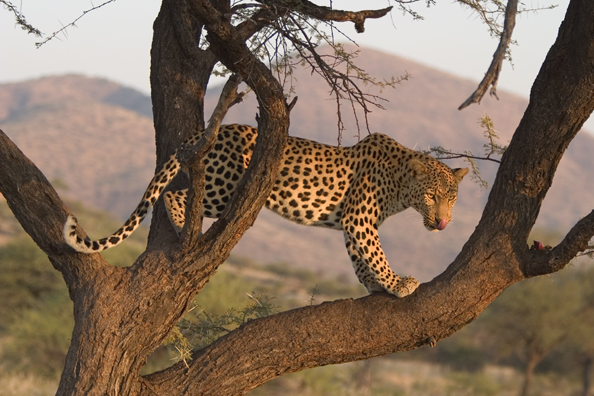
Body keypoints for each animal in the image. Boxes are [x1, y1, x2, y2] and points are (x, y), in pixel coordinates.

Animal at [62, 124, 464, 296]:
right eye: (432, 197)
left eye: (453, 199)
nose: (444, 222)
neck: (402, 185)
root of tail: (217, 127)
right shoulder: (360, 218)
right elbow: (376, 253)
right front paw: (398, 283)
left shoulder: (353, 223)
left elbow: (358, 256)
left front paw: (374, 285)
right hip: (225, 187)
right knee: (173, 196)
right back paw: (183, 228)